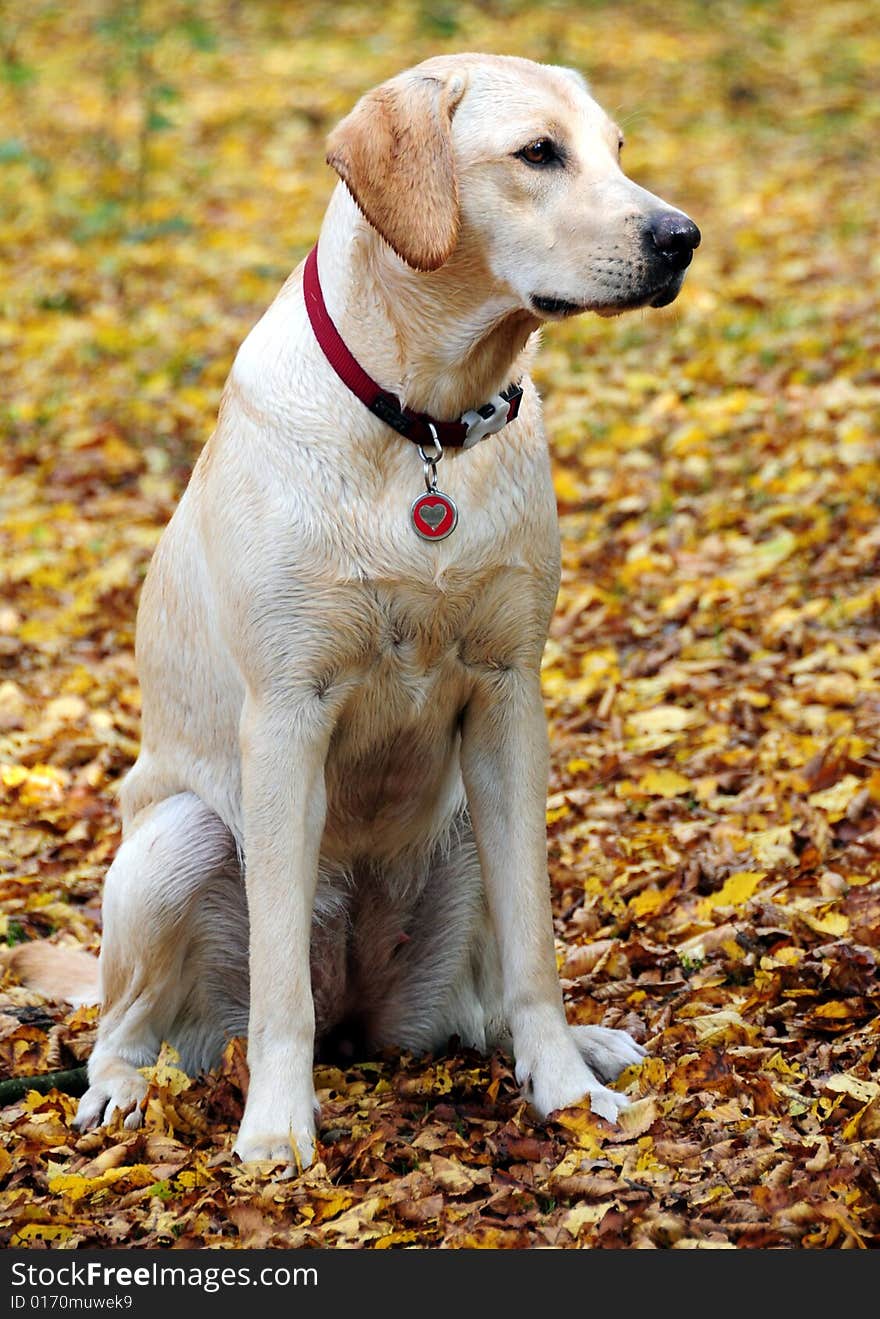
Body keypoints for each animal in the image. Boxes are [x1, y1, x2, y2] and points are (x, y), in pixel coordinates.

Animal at [13, 51, 701, 1171]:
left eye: (616, 150)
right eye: (538, 153)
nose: (681, 236)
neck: (424, 423)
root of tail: (361, 1015)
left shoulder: (509, 701)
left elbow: (535, 950)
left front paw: (563, 1087)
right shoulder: (287, 714)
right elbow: (279, 985)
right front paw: (276, 1129)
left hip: (466, 831)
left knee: (481, 1007)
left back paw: (579, 1045)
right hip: (177, 843)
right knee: (128, 1023)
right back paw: (122, 1089)